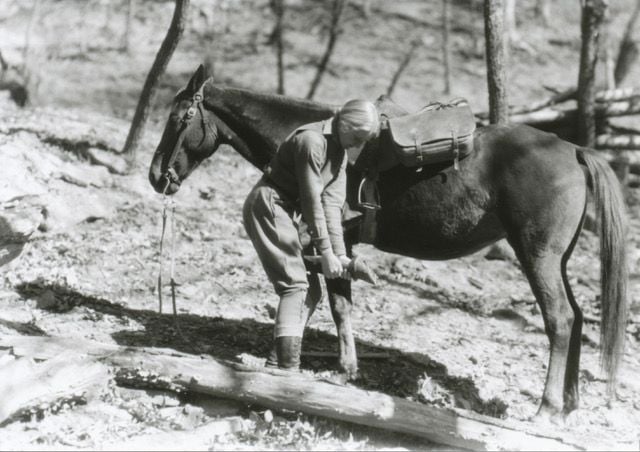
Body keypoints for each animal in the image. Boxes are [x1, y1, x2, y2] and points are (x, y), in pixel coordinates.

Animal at [148, 64, 628, 420]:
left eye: (177, 118)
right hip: (556, 261)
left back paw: (547, 408)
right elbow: (326, 298)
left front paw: (338, 370)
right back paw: (570, 405)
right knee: (578, 318)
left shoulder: (331, 238)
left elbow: (333, 302)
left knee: (561, 320)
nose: (156, 176)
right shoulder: (335, 245)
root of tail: (574, 150)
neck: (318, 135)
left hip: (538, 257)